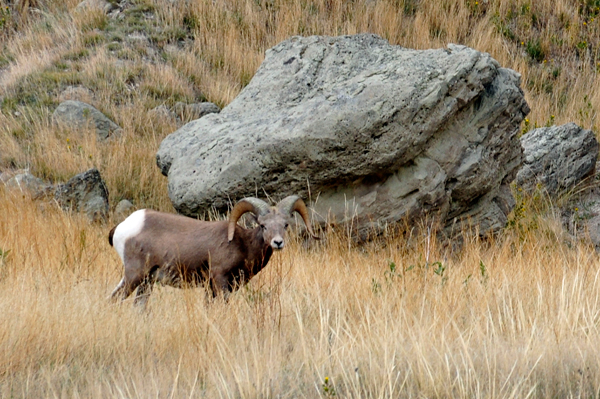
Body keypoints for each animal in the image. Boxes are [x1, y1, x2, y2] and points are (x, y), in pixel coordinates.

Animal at [108, 197, 318, 306]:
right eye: (263, 225)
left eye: (285, 225)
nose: (278, 242)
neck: (243, 245)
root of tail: (123, 226)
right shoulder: (220, 280)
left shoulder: (211, 287)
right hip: (134, 276)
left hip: (146, 282)